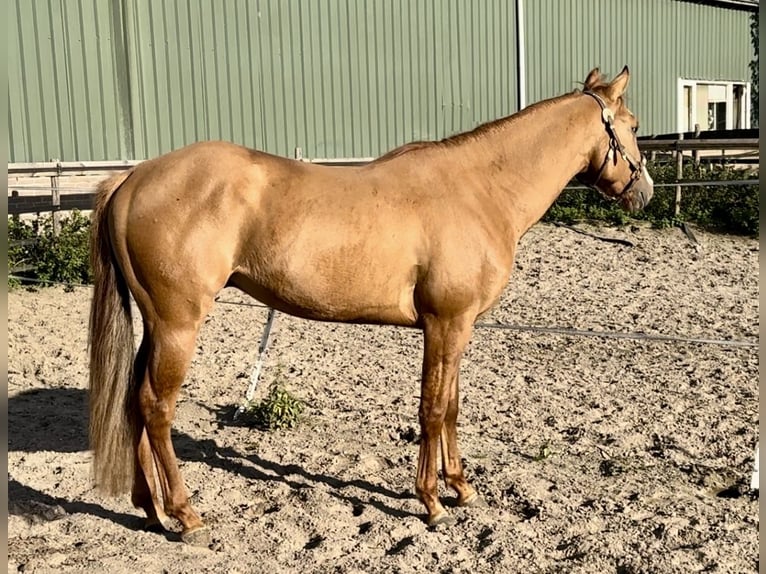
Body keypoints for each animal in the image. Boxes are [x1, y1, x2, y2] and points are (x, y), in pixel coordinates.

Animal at [88, 66, 653, 543]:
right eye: (633, 125)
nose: (644, 191)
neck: (479, 187)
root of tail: (132, 180)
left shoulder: (459, 326)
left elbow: (451, 406)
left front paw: (461, 487)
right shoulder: (445, 324)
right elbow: (431, 408)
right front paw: (432, 502)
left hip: (156, 325)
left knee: (133, 401)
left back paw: (150, 509)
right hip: (178, 325)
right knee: (156, 408)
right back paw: (185, 516)